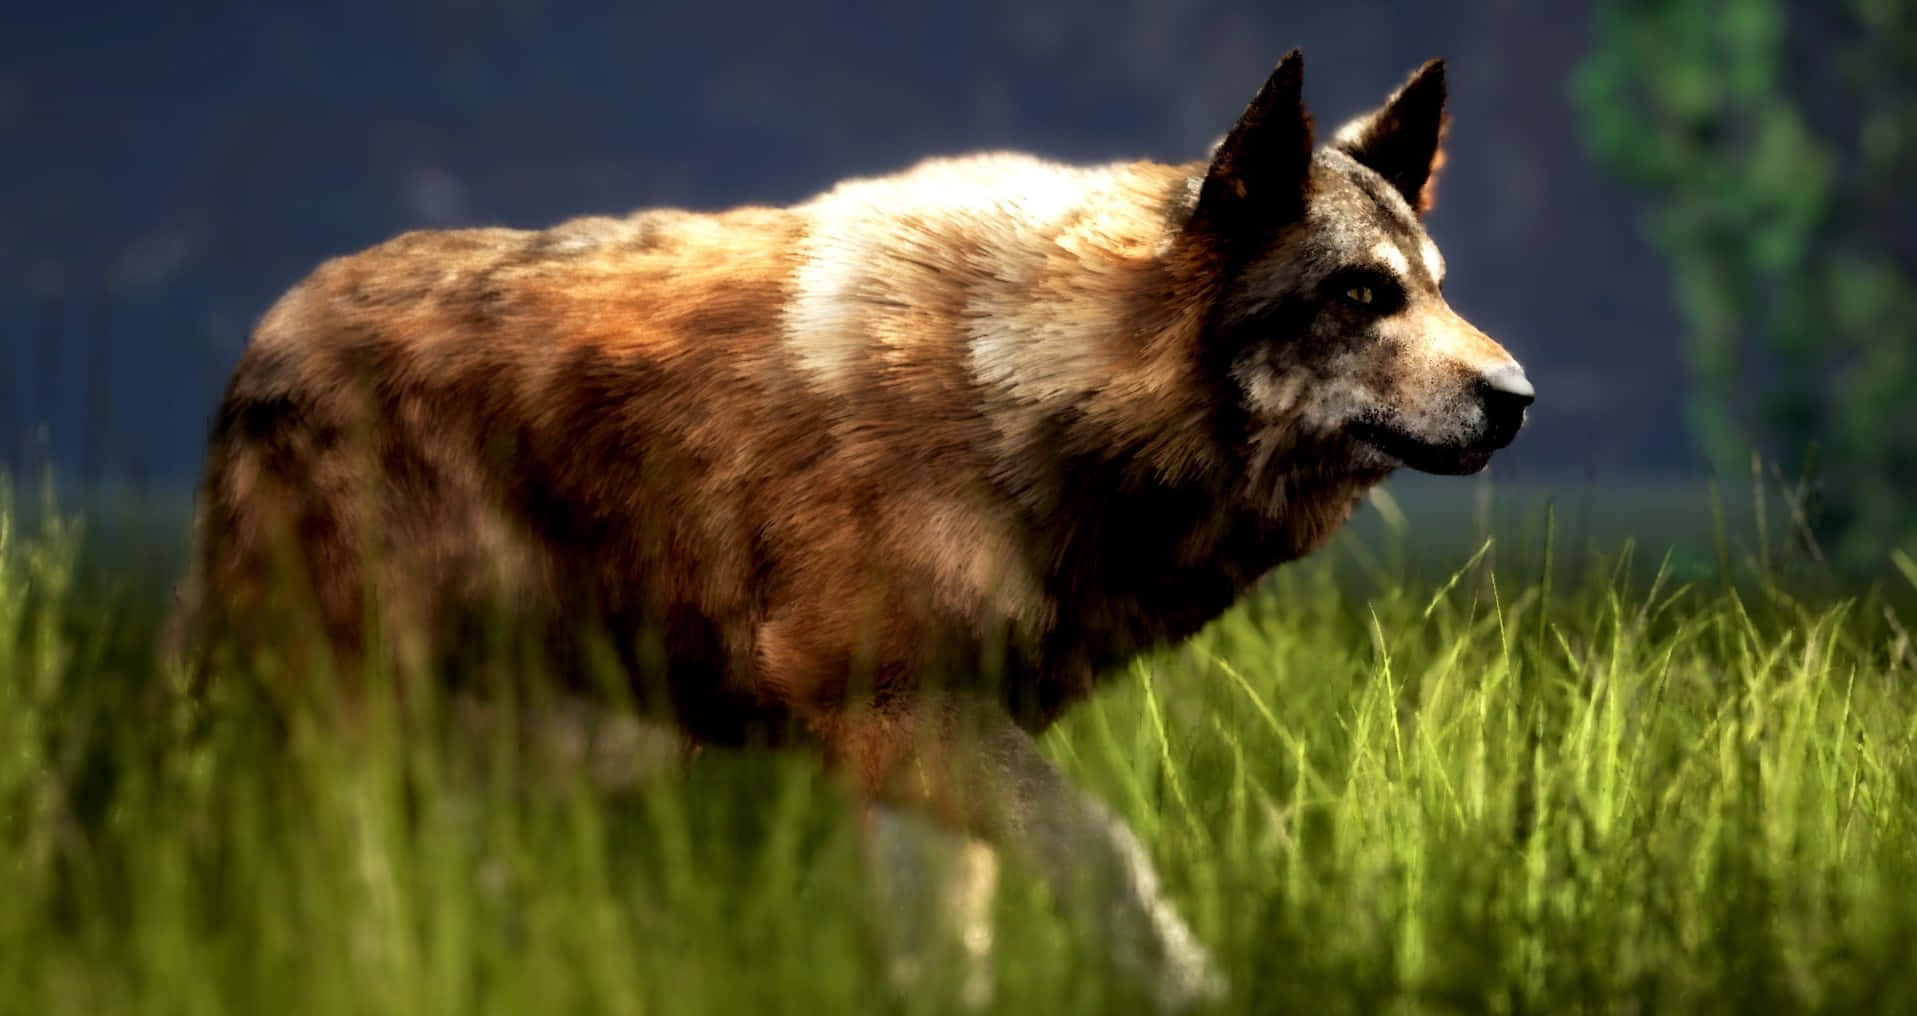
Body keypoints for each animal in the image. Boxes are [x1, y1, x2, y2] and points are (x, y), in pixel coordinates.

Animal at [171, 51, 1530, 1008]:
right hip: (365, 728)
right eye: (1361, 294)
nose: (1516, 397)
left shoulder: (929, 747)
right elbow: (1110, 860)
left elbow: (944, 960)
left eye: (1437, 289)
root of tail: (260, 340)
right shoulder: (896, 713)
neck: (1025, 391)